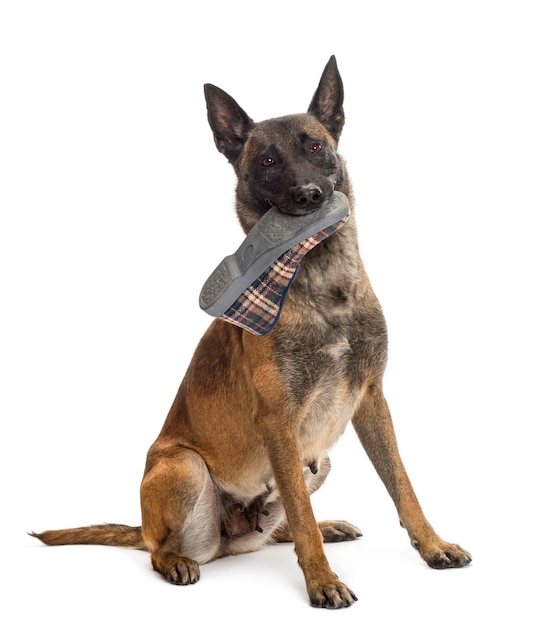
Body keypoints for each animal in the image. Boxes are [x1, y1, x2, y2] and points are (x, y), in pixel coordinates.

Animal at [30, 56, 470, 608]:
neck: (320, 280)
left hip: (319, 462)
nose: (309, 196)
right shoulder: (279, 422)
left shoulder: (371, 399)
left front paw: (432, 545)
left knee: (280, 527)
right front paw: (322, 581)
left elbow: (402, 485)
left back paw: (328, 526)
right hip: (185, 468)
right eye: (266, 161)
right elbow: (302, 517)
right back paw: (178, 561)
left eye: (315, 146)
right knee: (164, 549)